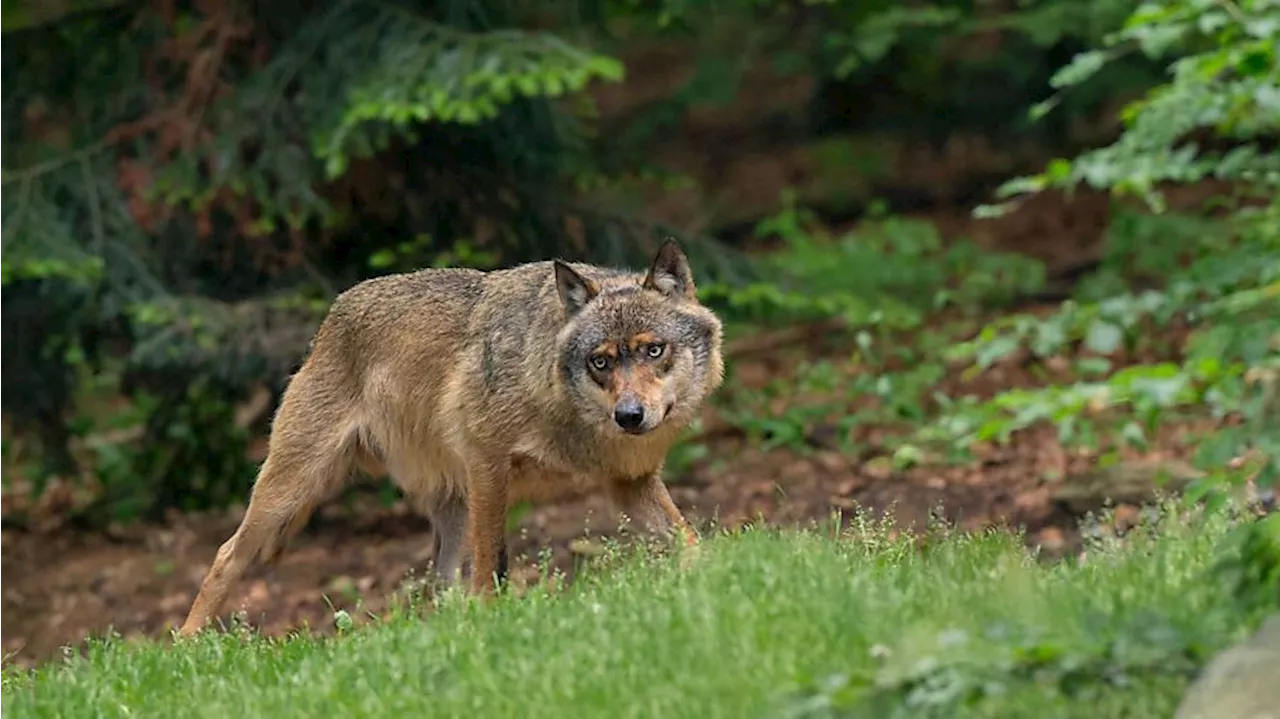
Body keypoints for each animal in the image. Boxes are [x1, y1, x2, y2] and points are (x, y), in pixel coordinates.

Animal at [175, 239, 727, 632]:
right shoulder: (488, 466)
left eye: (653, 350)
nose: (629, 416)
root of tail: (331, 316)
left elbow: (689, 540)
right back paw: (186, 647)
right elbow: (490, 569)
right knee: (224, 555)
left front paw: (720, 576)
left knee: (438, 590)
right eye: (601, 362)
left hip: (450, 511)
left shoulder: (629, 482)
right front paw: (493, 621)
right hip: (288, 495)